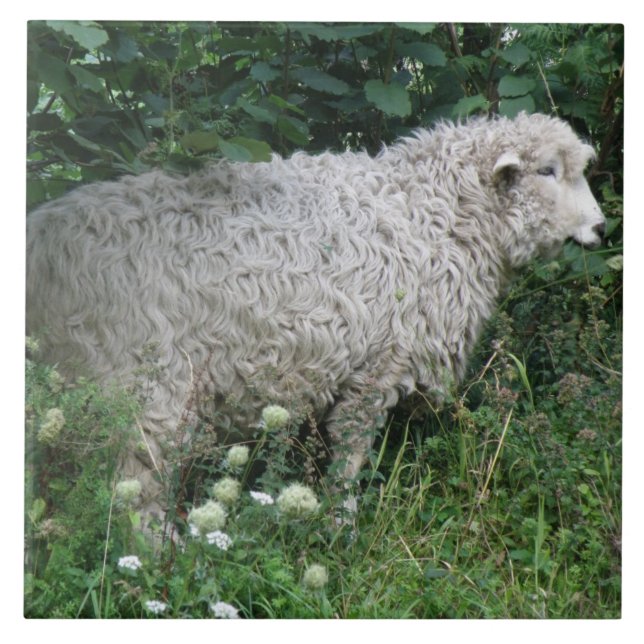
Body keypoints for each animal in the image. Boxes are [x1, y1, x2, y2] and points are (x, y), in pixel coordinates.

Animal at [26, 112, 605, 527]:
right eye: (548, 171)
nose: (601, 229)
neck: (433, 213)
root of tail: (41, 241)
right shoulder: (378, 365)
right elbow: (350, 451)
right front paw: (341, 522)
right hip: (144, 383)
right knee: (135, 485)